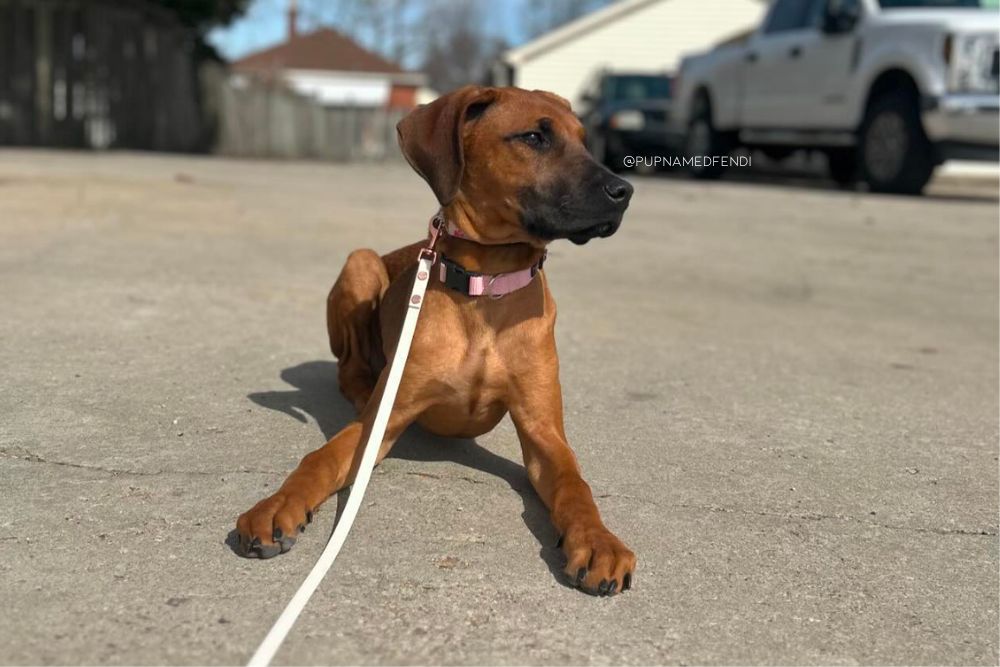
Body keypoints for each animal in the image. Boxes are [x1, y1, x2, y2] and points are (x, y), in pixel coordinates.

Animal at [236, 86, 632, 596]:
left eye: (585, 140)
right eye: (534, 137)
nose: (624, 192)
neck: (486, 288)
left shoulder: (544, 431)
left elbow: (574, 484)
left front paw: (599, 540)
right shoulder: (379, 426)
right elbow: (319, 459)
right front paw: (277, 505)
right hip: (361, 262)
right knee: (349, 367)